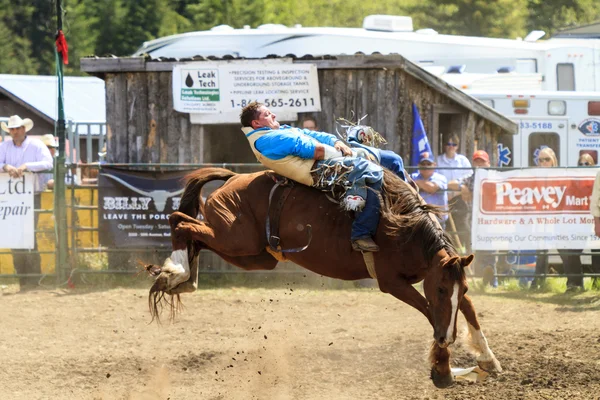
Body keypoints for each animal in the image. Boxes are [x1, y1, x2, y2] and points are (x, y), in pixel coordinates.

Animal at [146, 166, 502, 388]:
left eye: (458, 288)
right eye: (440, 289)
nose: (447, 339)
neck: (405, 228)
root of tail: (235, 177)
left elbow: (469, 308)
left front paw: (488, 359)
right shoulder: (392, 282)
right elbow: (430, 312)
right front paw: (441, 367)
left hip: (252, 253)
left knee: (195, 232)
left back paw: (181, 279)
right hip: (236, 239)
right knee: (179, 219)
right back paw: (174, 272)